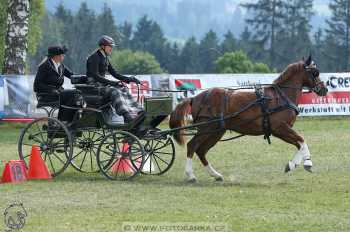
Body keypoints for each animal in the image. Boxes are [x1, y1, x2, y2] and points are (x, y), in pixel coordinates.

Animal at [170, 55, 328, 181]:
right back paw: (191, 175)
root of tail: (194, 98)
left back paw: (216, 175)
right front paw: (307, 163)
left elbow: (299, 144)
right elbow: (302, 140)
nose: (324, 89)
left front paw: (292, 164)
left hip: (215, 131)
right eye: (315, 73)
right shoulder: (280, 128)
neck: (281, 96)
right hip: (206, 128)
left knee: (201, 151)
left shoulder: (281, 130)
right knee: (192, 146)